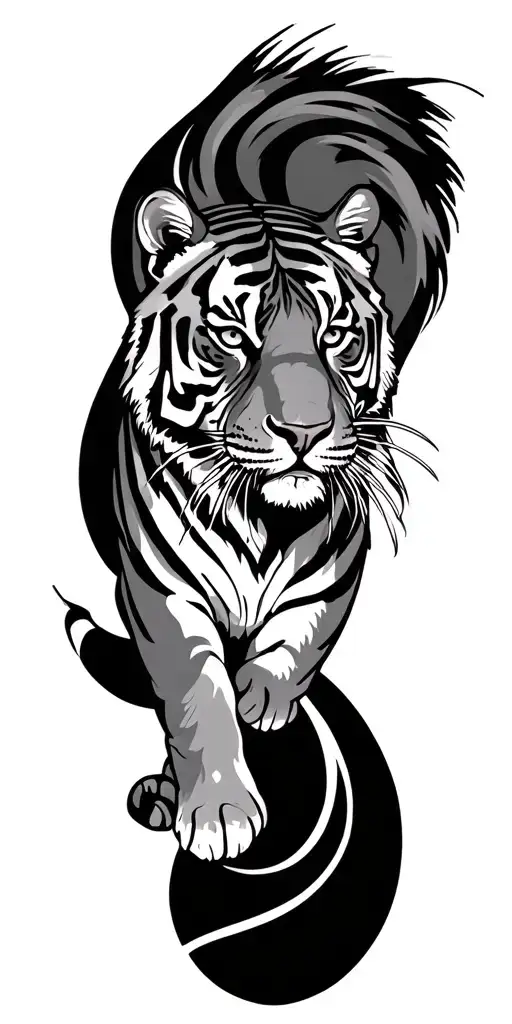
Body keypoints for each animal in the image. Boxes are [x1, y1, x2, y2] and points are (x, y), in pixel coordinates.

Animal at [65, 30, 462, 864]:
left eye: (335, 334)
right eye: (232, 337)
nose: (305, 433)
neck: (265, 521)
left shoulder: (336, 574)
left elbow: (299, 642)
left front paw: (264, 701)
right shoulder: (161, 593)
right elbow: (193, 695)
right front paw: (216, 810)